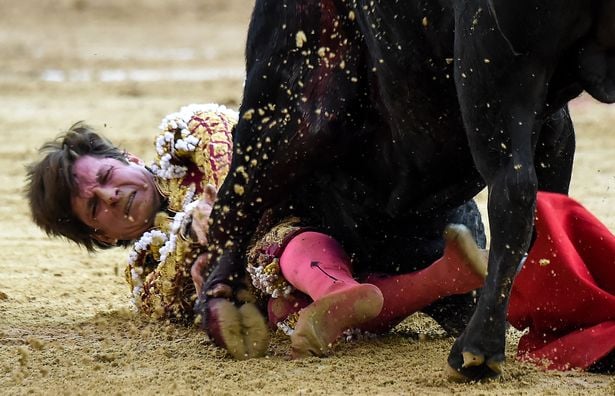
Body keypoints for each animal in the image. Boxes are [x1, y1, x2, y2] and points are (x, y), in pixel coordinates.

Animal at [201, 0, 615, 380]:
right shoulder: (553, 125)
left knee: (512, 192)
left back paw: (476, 345)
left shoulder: (289, 95)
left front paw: (223, 301)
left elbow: (238, 197)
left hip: (492, 72)